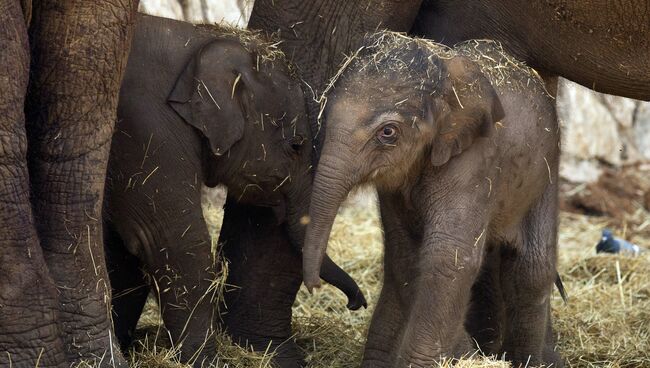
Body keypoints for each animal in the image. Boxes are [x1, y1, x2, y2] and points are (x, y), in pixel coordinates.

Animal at [103, 12, 362, 366]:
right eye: (296, 145)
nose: (357, 303)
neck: (197, 37)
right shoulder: (145, 129)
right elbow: (172, 239)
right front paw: (207, 360)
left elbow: (122, 250)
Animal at [302, 32, 560, 368]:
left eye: (388, 132)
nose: (314, 287)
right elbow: (406, 255)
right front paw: (462, 353)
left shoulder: (475, 159)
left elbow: (448, 257)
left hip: (545, 173)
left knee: (531, 269)